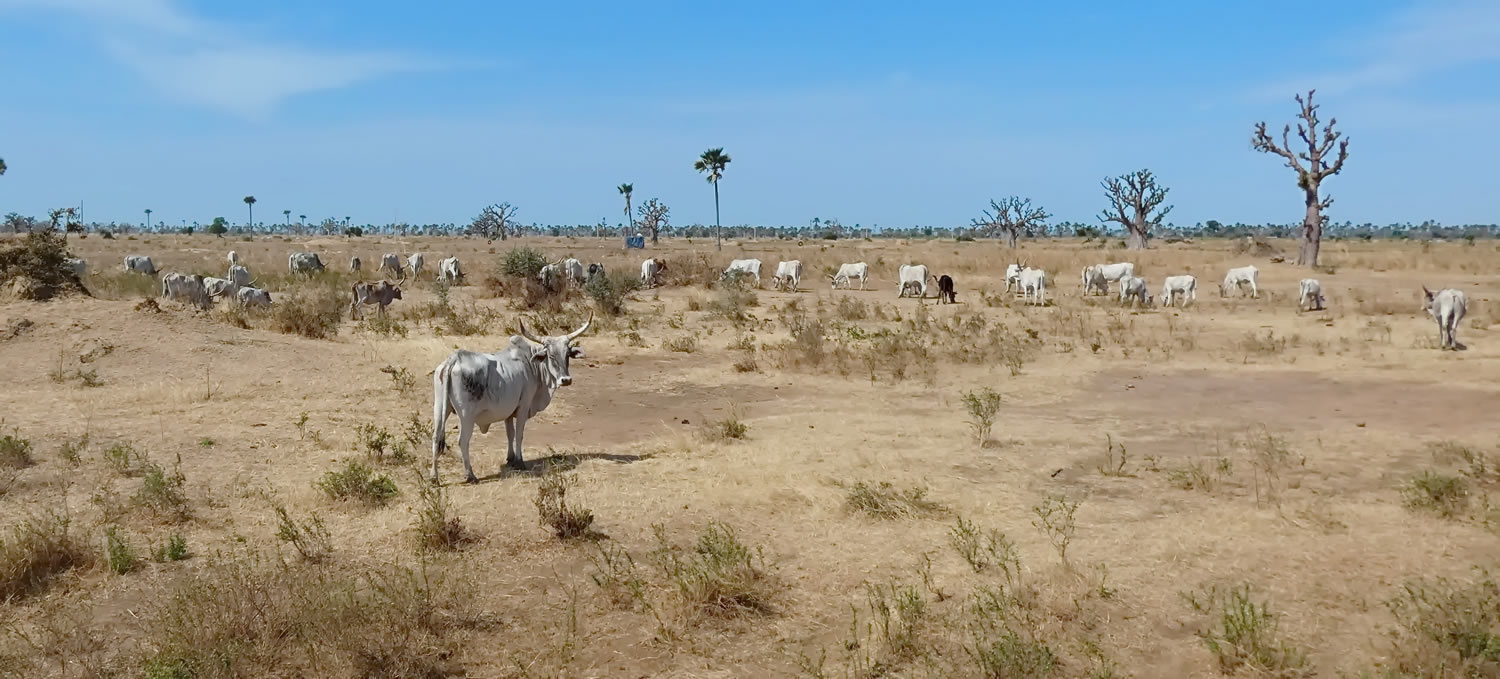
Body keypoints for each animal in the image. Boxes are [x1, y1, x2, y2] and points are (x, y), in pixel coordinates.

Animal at [429, 311, 591, 482]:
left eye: (567, 354)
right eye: (551, 355)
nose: (566, 380)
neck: (531, 364)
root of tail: (453, 359)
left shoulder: (508, 411)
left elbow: (510, 434)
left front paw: (510, 458)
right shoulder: (523, 406)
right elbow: (519, 434)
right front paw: (519, 461)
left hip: (440, 408)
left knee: (435, 437)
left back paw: (434, 477)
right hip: (467, 416)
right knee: (463, 441)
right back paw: (470, 475)